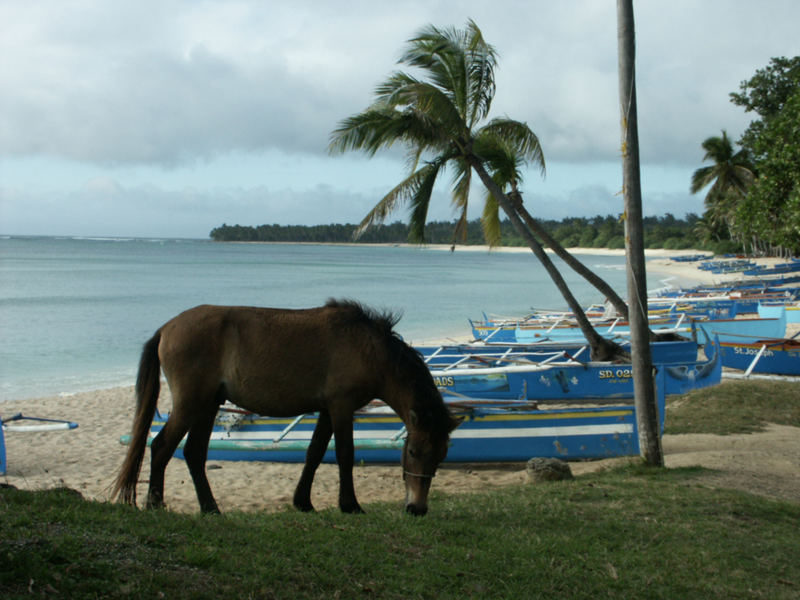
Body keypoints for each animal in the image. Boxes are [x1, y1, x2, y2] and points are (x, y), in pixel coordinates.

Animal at [114, 300, 462, 516]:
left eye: (441, 455)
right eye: (413, 451)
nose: (417, 509)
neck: (369, 349)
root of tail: (167, 328)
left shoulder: (327, 409)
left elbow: (315, 453)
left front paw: (303, 502)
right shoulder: (341, 406)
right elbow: (344, 454)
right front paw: (350, 505)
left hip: (208, 405)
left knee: (193, 454)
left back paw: (211, 509)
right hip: (191, 403)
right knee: (161, 446)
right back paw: (156, 504)